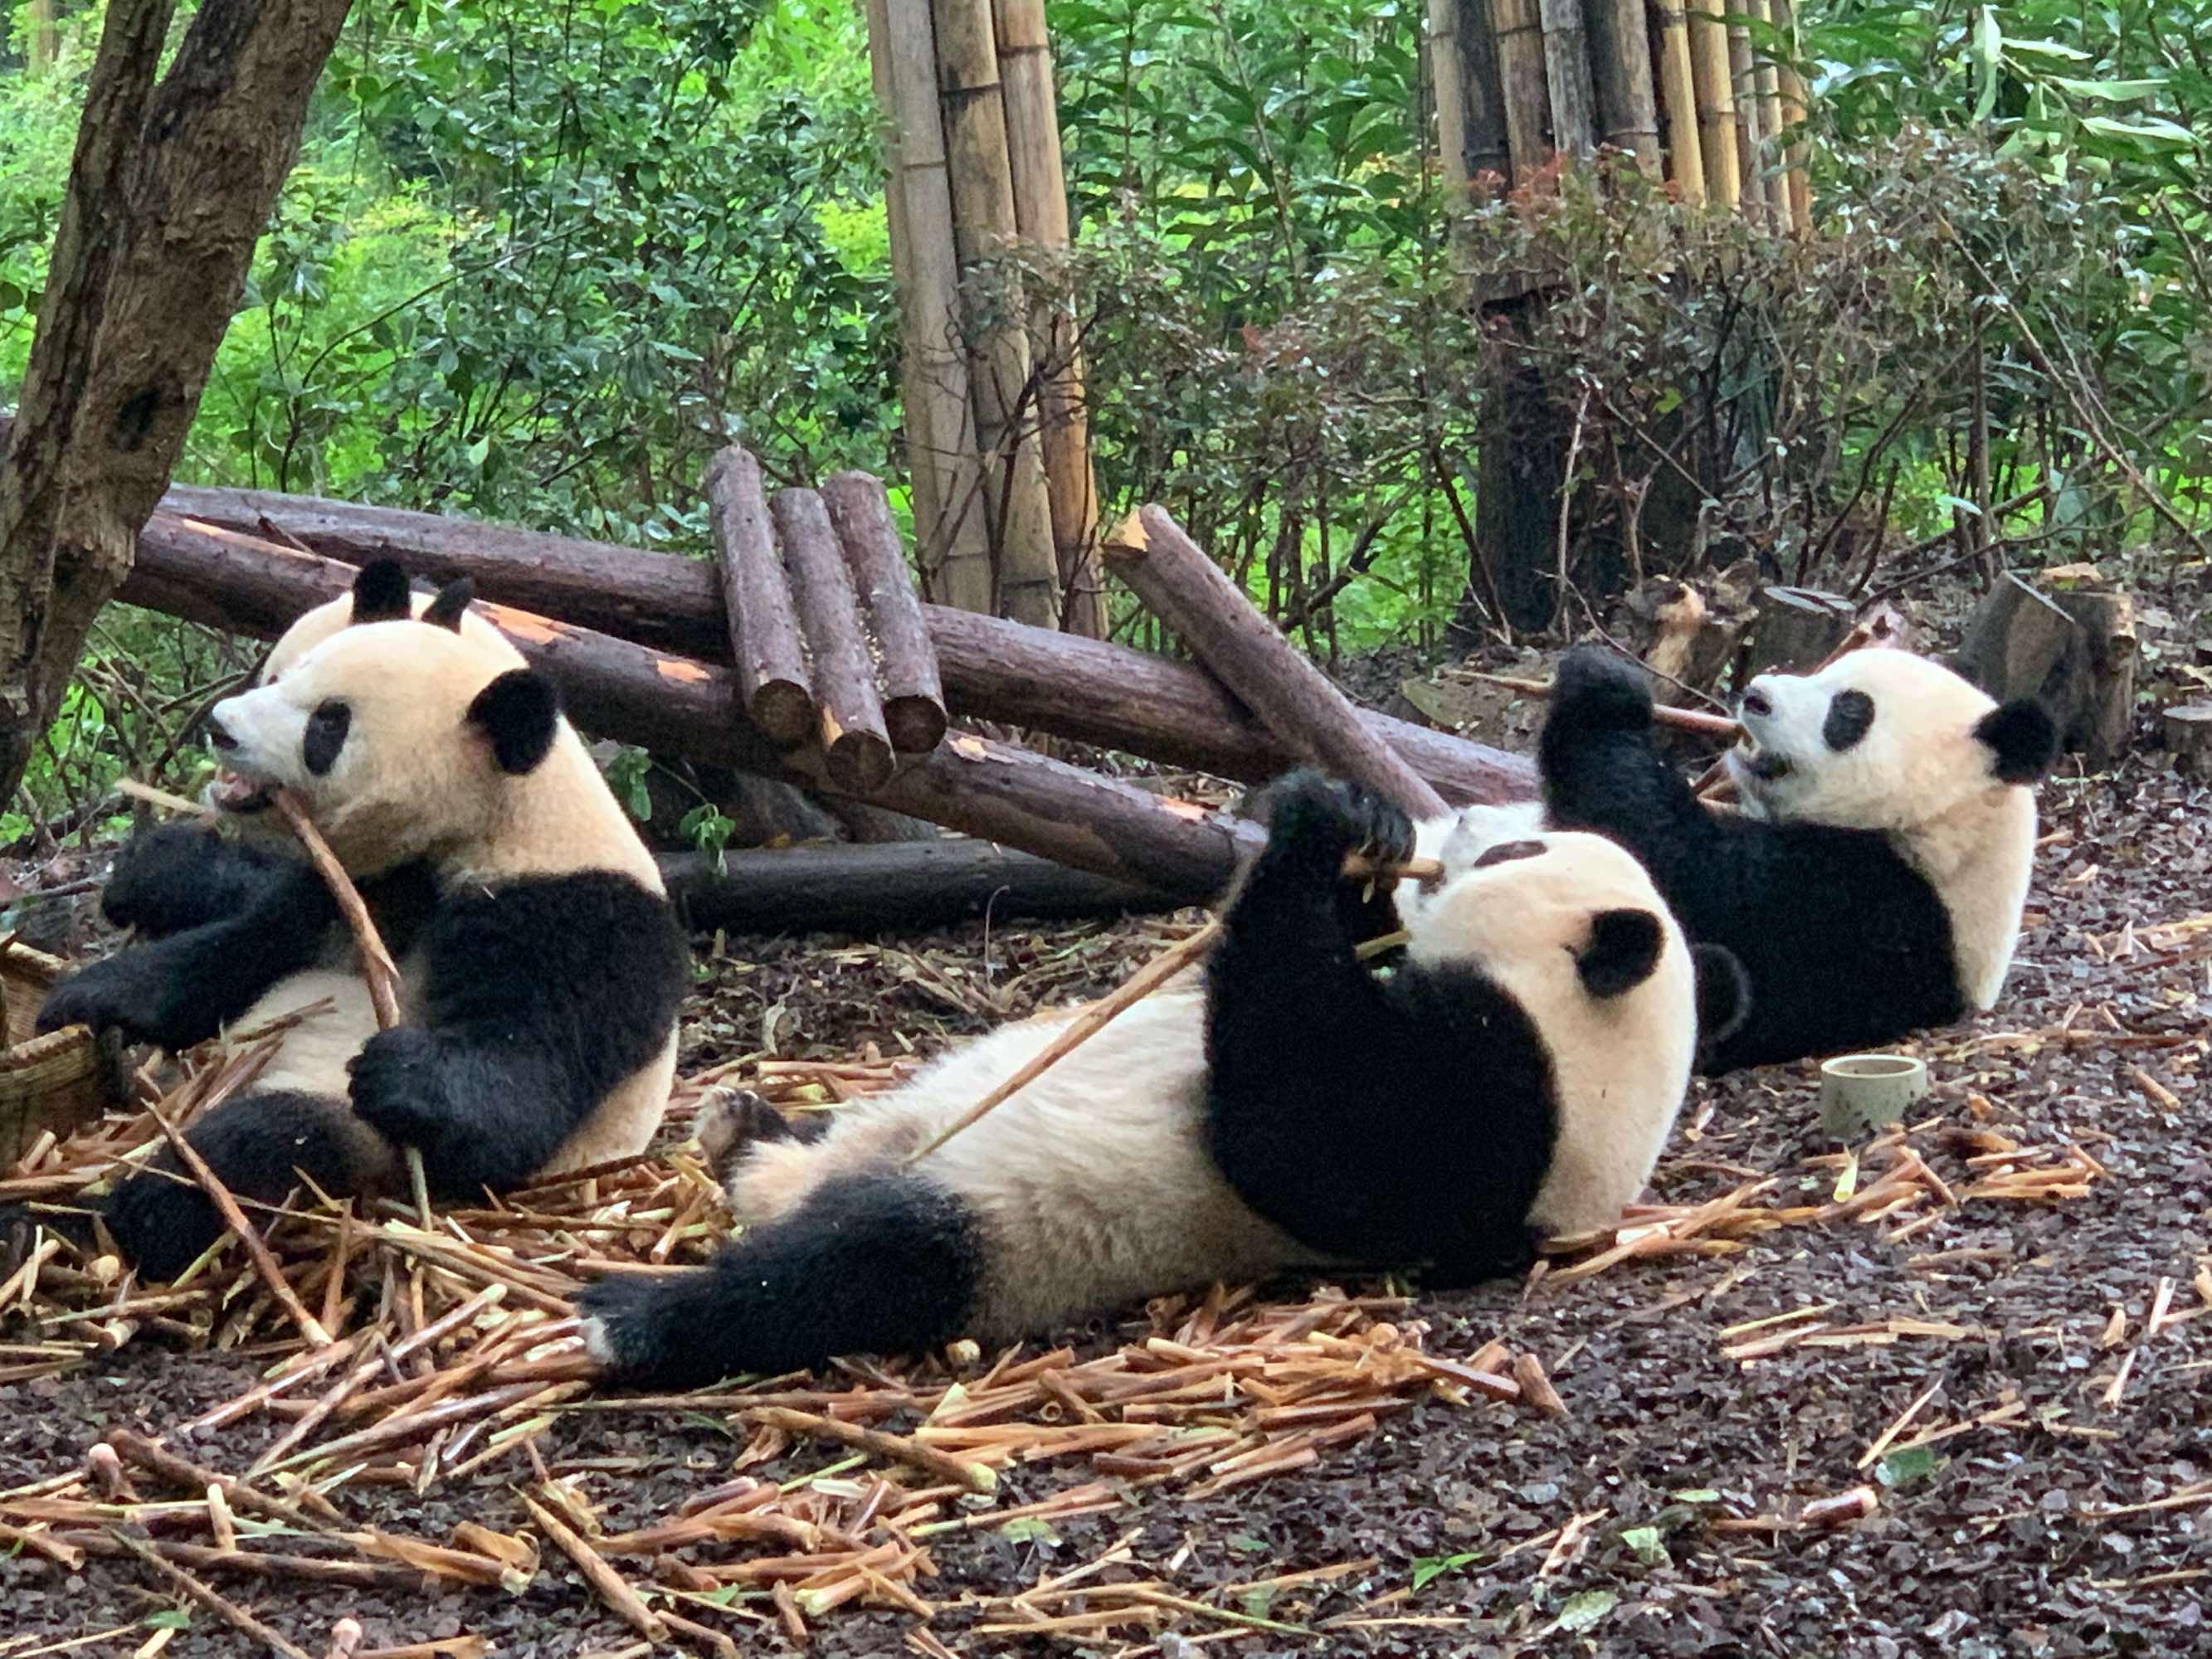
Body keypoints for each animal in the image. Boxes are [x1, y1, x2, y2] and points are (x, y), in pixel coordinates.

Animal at [32, 566, 681, 1282]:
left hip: (359, 1141)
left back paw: (118, 1215)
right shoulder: (349, 885)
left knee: (267, 1141)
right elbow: (230, 955)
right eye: (288, 674)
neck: (494, 820)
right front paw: (85, 998)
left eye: (329, 723)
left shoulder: (575, 922)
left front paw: (401, 1070)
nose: (222, 727)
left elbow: (519, 1097)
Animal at [583, 774, 1742, 1380]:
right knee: (822, 1157)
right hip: (910, 1116)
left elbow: (1298, 1128)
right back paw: (742, 1125)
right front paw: (1363, 833)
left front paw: (1315, 828)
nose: (1456, 822)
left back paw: (636, 1316)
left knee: (849, 1268)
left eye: (1517, 852)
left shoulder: (1491, 1116)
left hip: (1000, 1226)